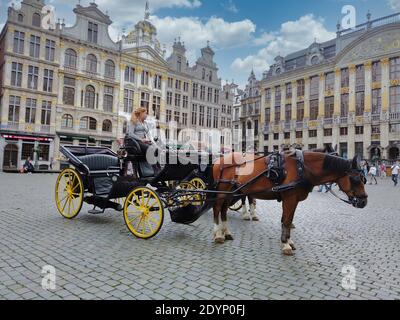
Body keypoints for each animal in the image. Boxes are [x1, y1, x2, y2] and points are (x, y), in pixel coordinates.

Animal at [212, 151, 368, 256]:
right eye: (355, 179)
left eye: (364, 179)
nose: (364, 201)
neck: (302, 168)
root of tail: (219, 159)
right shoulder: (290, 198)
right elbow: (286, 221)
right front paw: (286, 244)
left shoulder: (294, 199)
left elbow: (288, 219)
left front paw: (288, 241)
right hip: (222, 191)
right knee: (217, 209)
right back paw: (218, 234)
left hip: (231, 192)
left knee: (224, 210)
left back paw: (226, 233)